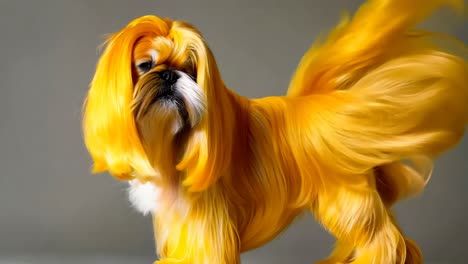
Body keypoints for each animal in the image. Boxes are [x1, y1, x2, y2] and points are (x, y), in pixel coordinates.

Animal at [81, 0, 468, 262]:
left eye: (191, 70)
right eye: (145, 66)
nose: (169, 75)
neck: (168, 138)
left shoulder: (207, 224)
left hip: (349, 204)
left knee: (384, 241)